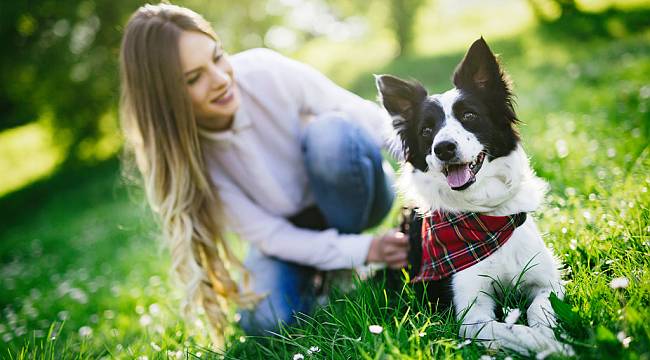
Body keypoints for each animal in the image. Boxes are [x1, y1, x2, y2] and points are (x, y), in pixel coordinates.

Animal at [374, 38, 572, 356]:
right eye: (426, 130)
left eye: (469, 116)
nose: (443, 148)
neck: (484, 214)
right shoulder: (472, 315)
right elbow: (516, 329)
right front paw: (553, 346)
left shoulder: (547, 282)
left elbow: (539, 311)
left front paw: (555, 338)